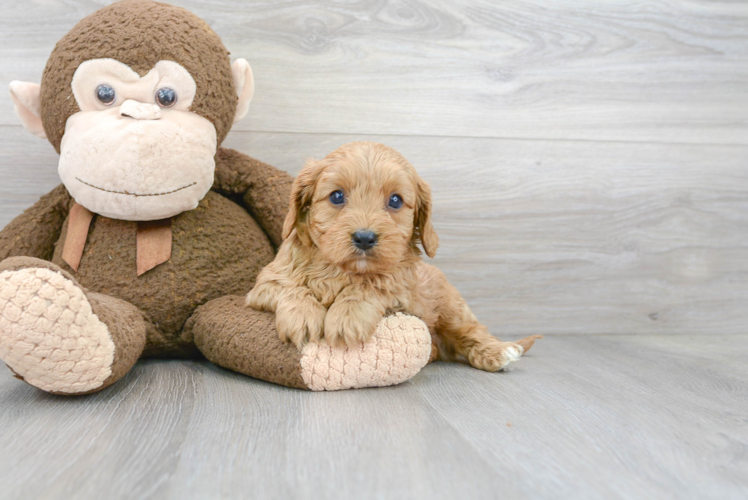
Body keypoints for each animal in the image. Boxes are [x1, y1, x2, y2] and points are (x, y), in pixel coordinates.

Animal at [248, 141, 540, 372]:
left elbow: (372, 284)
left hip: (452, 308)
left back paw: (500, 351)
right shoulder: (263, 286)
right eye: (337, 196)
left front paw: (347, 317)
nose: (364, 238)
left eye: (396, 200)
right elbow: (291, 286)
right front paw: (303, 316)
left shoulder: (402, 288)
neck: (343, 270)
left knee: (472, 332)